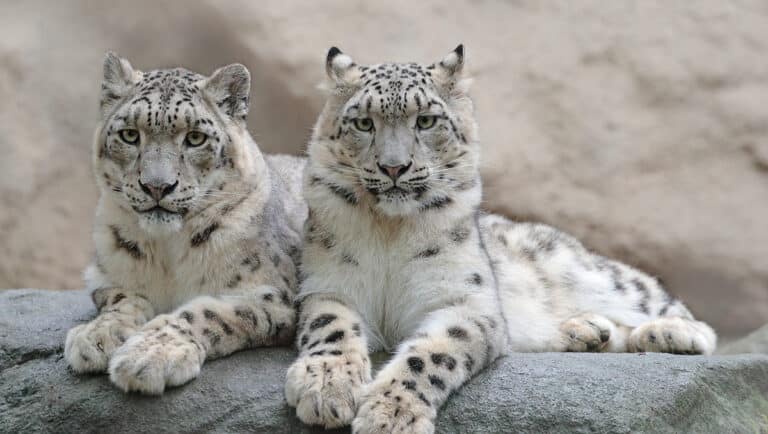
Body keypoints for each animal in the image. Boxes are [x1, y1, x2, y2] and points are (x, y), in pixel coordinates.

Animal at [63, 53, 307, 395]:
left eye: (195, 138)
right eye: (129, 134)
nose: (157, 186)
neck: (167, 253)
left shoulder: (272, 293)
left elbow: (207, 313)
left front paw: (149, 355)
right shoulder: (105, 275)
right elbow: (121, 298)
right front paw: (97, 336)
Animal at [284, 45, 717, 433]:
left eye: (425, 121)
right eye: (363, 123)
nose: (394, 167)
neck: (390, 231)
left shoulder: (466, 302)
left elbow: (429, 356)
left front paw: (390, 415)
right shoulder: (328, 285)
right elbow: (330, 327)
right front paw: (325, 387)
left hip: (589, 272)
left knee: (662, 302)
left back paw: (672, 332)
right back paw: (586, 330)